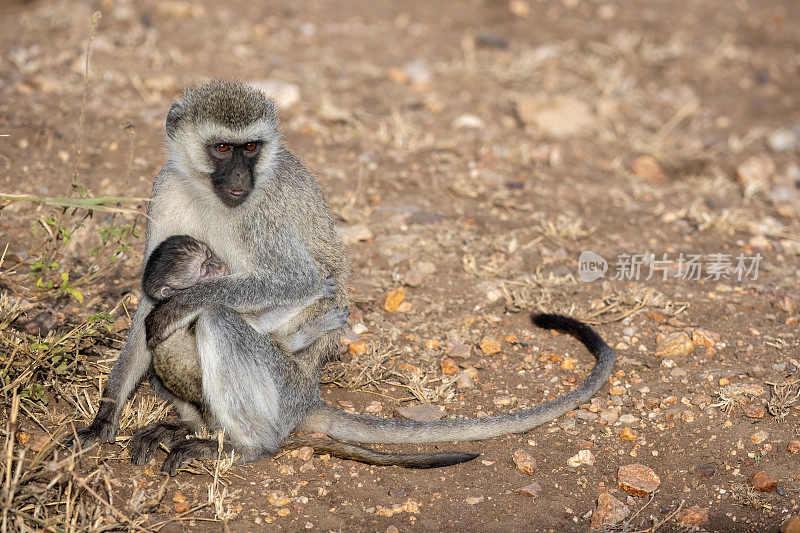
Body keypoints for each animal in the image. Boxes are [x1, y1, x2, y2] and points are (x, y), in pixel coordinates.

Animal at [76, 80, 612, 474]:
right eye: (223, 147)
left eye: (251, 147)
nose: (241, 179)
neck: (211, 197)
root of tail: (308, 397)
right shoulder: (165, 189)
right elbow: (147, 305)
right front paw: (104, 418)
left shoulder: (261, 215)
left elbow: (298, 282)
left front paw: (185, 304)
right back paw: (189, 426)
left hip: (283, 387)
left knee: (220, 320)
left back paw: (246, 446)